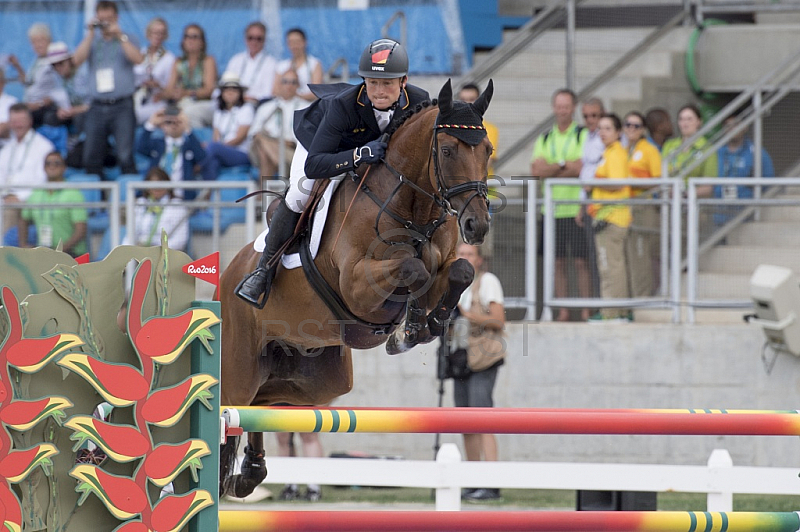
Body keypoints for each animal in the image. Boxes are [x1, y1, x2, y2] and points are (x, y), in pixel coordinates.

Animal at [219, 79, 494, 498]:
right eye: (447, 150)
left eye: (488, 150)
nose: (477, 226)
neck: (414, 209)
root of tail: (226, 275)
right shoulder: (357, 286)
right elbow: (413, 268)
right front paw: (411, 330)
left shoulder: (444, 268)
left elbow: (460, 271)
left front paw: (428, 325)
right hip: (239, 368)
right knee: (232, 407)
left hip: (317, 379)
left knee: (264, 402)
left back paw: (249, 472)